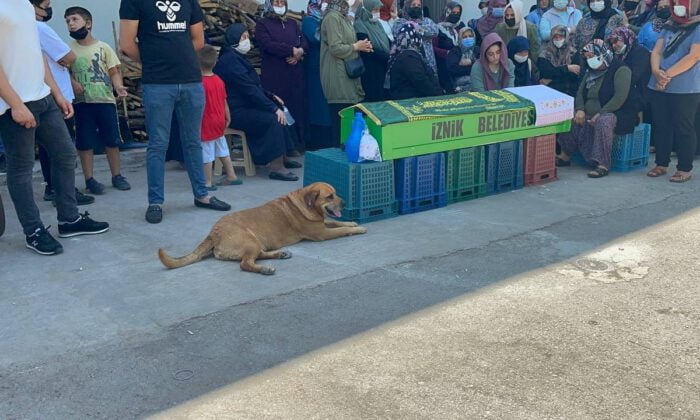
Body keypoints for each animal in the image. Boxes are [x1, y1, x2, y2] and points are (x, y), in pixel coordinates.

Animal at [157, 182, 366, 274]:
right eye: (329, 197)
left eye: (335, 194)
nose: (344, 203)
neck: (305, 203)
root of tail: (213, 232)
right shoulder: (322, 233)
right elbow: (339, 230)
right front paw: (358, 230)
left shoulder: (322, 225)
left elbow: (338, 223)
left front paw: (353, 223)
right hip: (250, 241)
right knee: (245, 263)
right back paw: (265, 269)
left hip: (256, 243)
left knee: (256, 256)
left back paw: (280, 254)